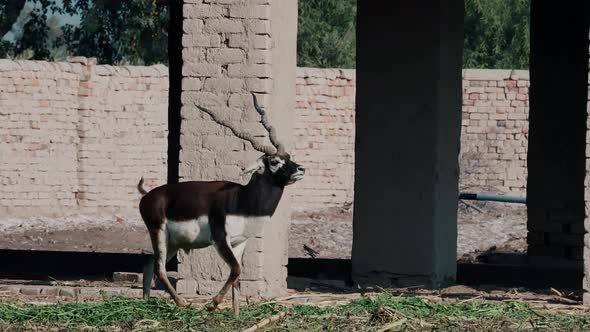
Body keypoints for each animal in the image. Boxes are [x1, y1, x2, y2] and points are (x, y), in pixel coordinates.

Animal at [138, 92, 306, 316]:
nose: (301, 169)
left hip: (172, 242)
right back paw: (182, 303)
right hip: (159, 234)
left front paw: (236, 314)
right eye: (274, 162)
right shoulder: (219, 239)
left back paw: (146, 302)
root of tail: (147, 196)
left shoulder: (239, 241)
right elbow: (236, 270)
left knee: (149, 263)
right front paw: (213, 304)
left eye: (288, 157)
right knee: (159, 268)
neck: (242, 201)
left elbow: (238, 277)